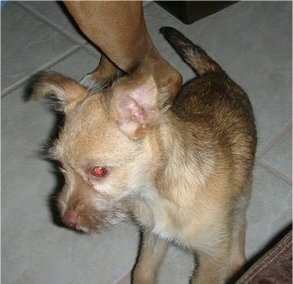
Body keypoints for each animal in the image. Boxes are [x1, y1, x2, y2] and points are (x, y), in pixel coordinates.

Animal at [29, 27, 256, 284]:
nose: (66, 220)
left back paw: (238, 263)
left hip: (241, 197)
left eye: (98, 171)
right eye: (61, 167)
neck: (158, 193)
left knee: (240, 223)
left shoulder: (211, 256)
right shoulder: (153, 237)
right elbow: (142, 270)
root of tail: (216, 74)